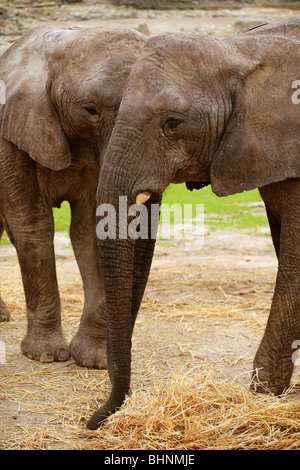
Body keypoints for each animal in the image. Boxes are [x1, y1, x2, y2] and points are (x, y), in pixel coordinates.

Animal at [0, 26, 146, 368]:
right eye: (90, 110)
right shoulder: (9, 134)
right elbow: (33, 225)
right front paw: (46, 356)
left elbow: (91, 229)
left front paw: (93, 360)